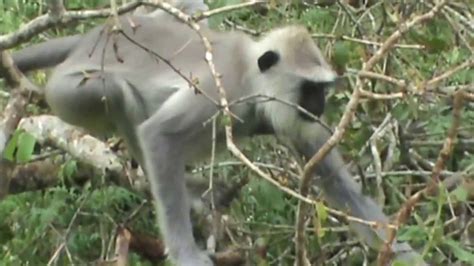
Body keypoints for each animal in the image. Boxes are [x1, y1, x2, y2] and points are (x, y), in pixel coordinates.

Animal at [3, 2, 426, 266]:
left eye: (322, 90)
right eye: (310, 89)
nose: (320, 105)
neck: (252, 77)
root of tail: (90, 38)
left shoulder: (287, 117)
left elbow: (343, 190)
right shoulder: (225, 91)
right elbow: (158, 135)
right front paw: (184, 253)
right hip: (68, 91)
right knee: (119, 94)